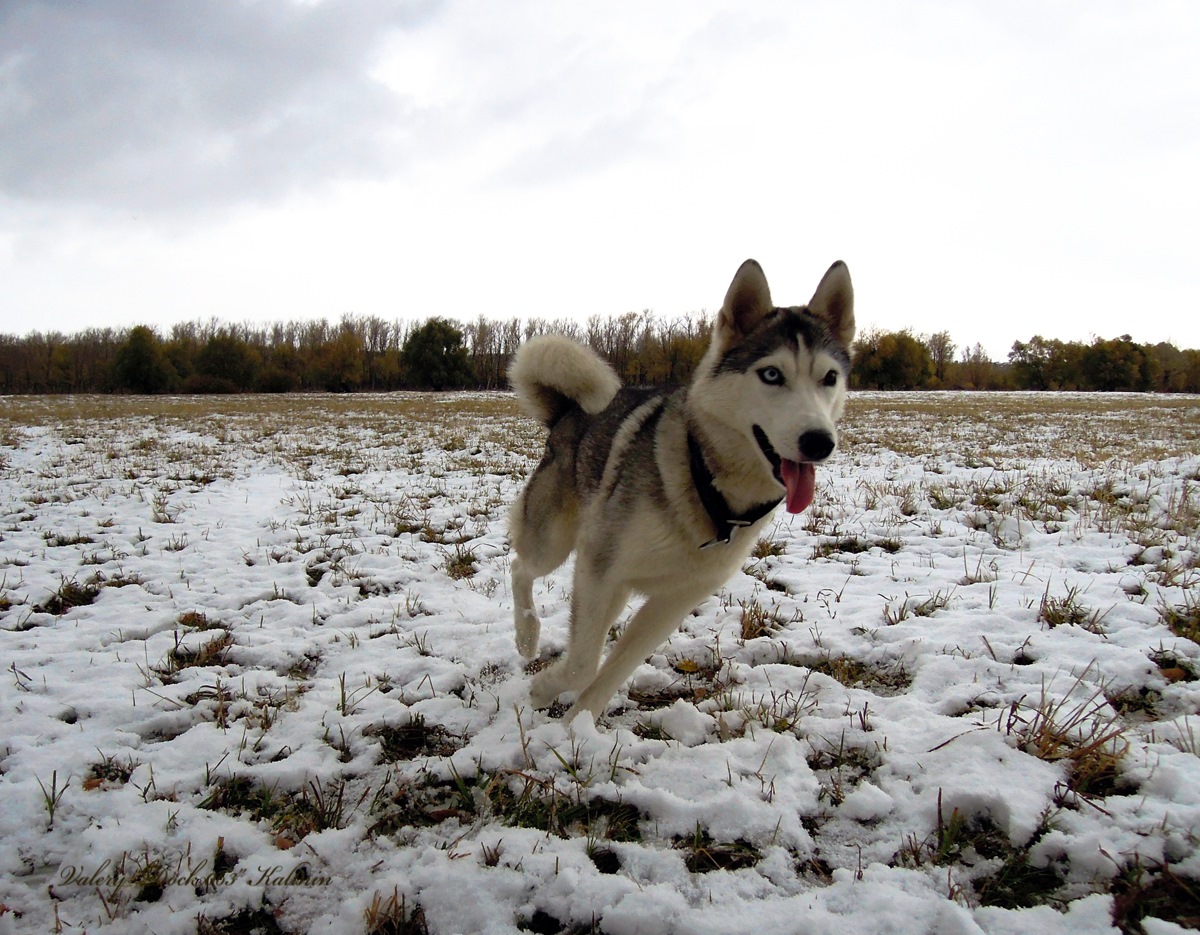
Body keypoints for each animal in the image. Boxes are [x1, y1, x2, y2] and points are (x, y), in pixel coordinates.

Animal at [506, 259, 854, 720]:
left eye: (829, 377)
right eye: (771, 374)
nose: (818, 441)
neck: (708, 485)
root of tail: (566, 413)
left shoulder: (673, 599)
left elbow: (611, 671)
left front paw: (576, 727)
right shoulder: (600, 565)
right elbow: (582, 664)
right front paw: (544, 688)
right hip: (555, 541)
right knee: (521, 568)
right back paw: (527, 636)